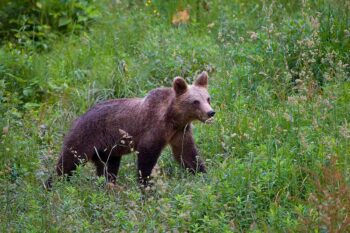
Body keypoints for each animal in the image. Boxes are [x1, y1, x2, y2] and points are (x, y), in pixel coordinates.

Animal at [46, 70, 215, 187]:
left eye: (208, 98)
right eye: (195, 101)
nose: (210, 112)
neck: (172, 118)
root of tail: (76, 119)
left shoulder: (179, 133)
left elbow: (187, 155)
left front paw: (203, 174)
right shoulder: (152, 130)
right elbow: (146, 160)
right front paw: (145, 184)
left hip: (107, 150)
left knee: (108, 169)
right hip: (85, 137)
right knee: (68, 163)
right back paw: (51, 186)